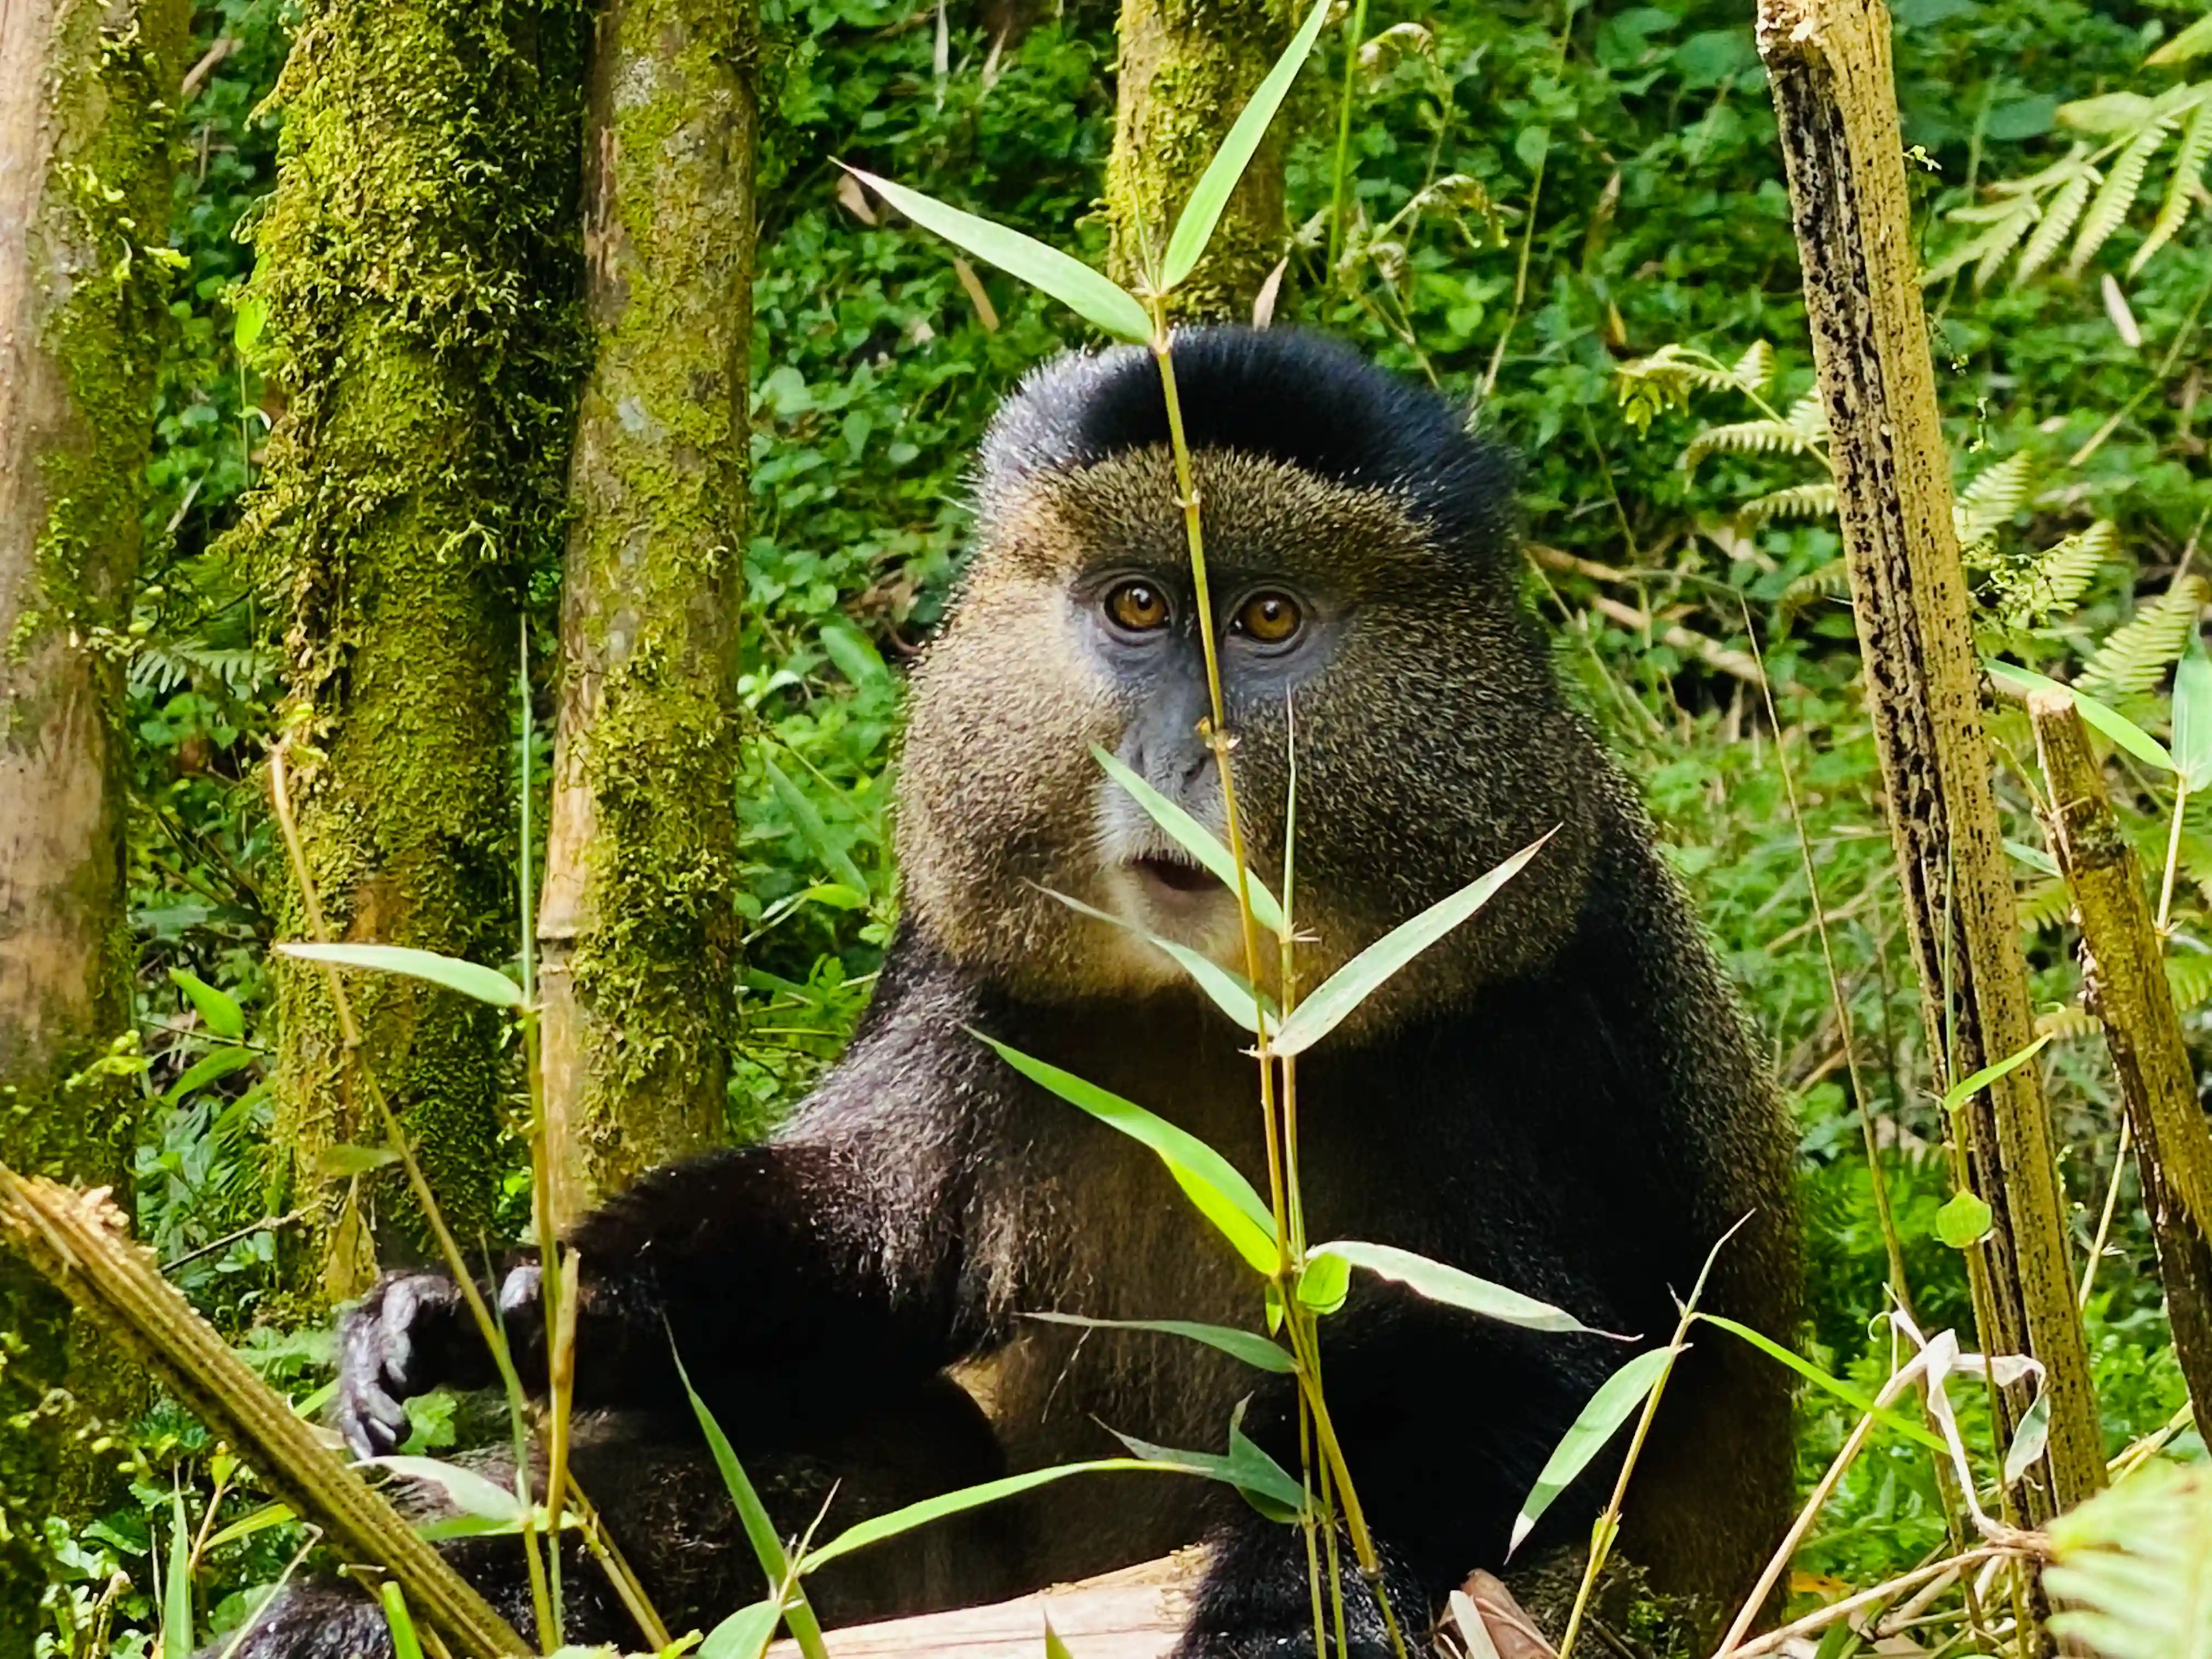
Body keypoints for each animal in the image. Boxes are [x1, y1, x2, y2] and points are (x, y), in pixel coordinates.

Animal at [228, 326, 1801, 1659]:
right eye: (1139, 605)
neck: (1220, 1016)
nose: (1179, 757)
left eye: (1269, 618)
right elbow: (869, 1242)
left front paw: (1294, 1613)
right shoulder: (961, 957)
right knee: (882, 1434)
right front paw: (503, 1306)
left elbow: (1529, 1371)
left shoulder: (1529, 995)